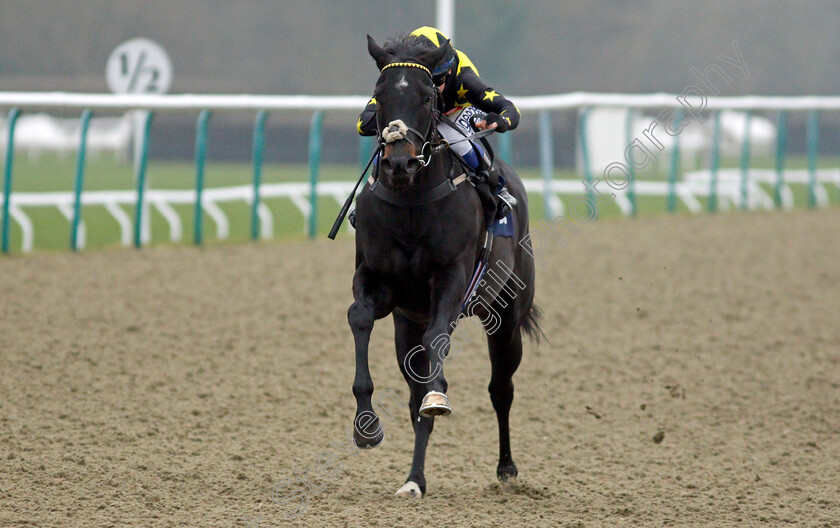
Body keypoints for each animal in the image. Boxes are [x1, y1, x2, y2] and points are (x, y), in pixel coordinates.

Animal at [348, 34, 544, 500]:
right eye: (379, 96)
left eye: (425, 96)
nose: (398, 162)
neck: (411, 201)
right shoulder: (377, 280)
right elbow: (359, 316)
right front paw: (365, 425)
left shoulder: (452, 278)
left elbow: (439, 339)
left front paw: (440, 397)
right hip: (407, 325)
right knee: (414, 397)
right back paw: (413, 480)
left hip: (506, 315)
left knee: (500, 389)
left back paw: (506, 467)